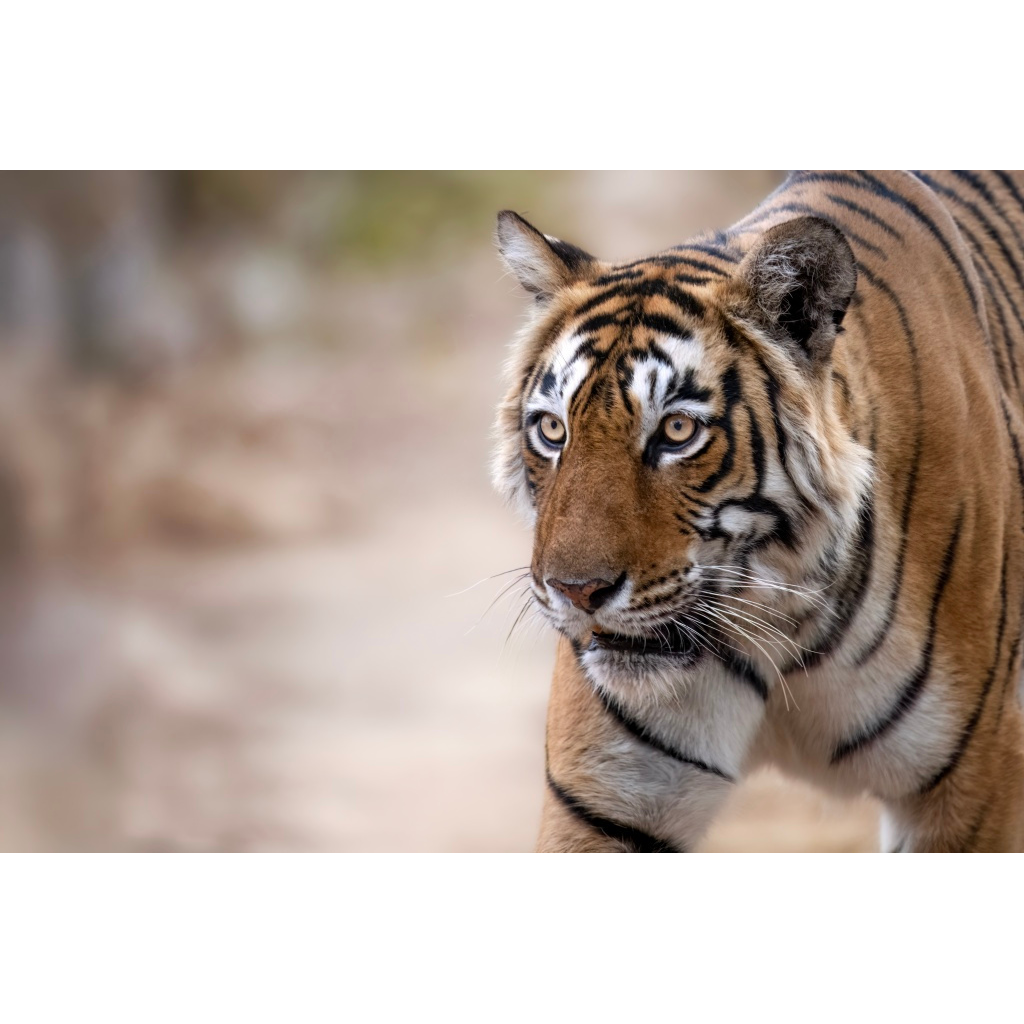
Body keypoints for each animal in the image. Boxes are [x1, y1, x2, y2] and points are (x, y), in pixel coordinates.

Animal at [492, 170, 1024, 855]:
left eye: (678, 430)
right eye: (553, 430)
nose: (575, 592)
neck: (779, 617)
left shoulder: (970, 790)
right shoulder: (602, 803)